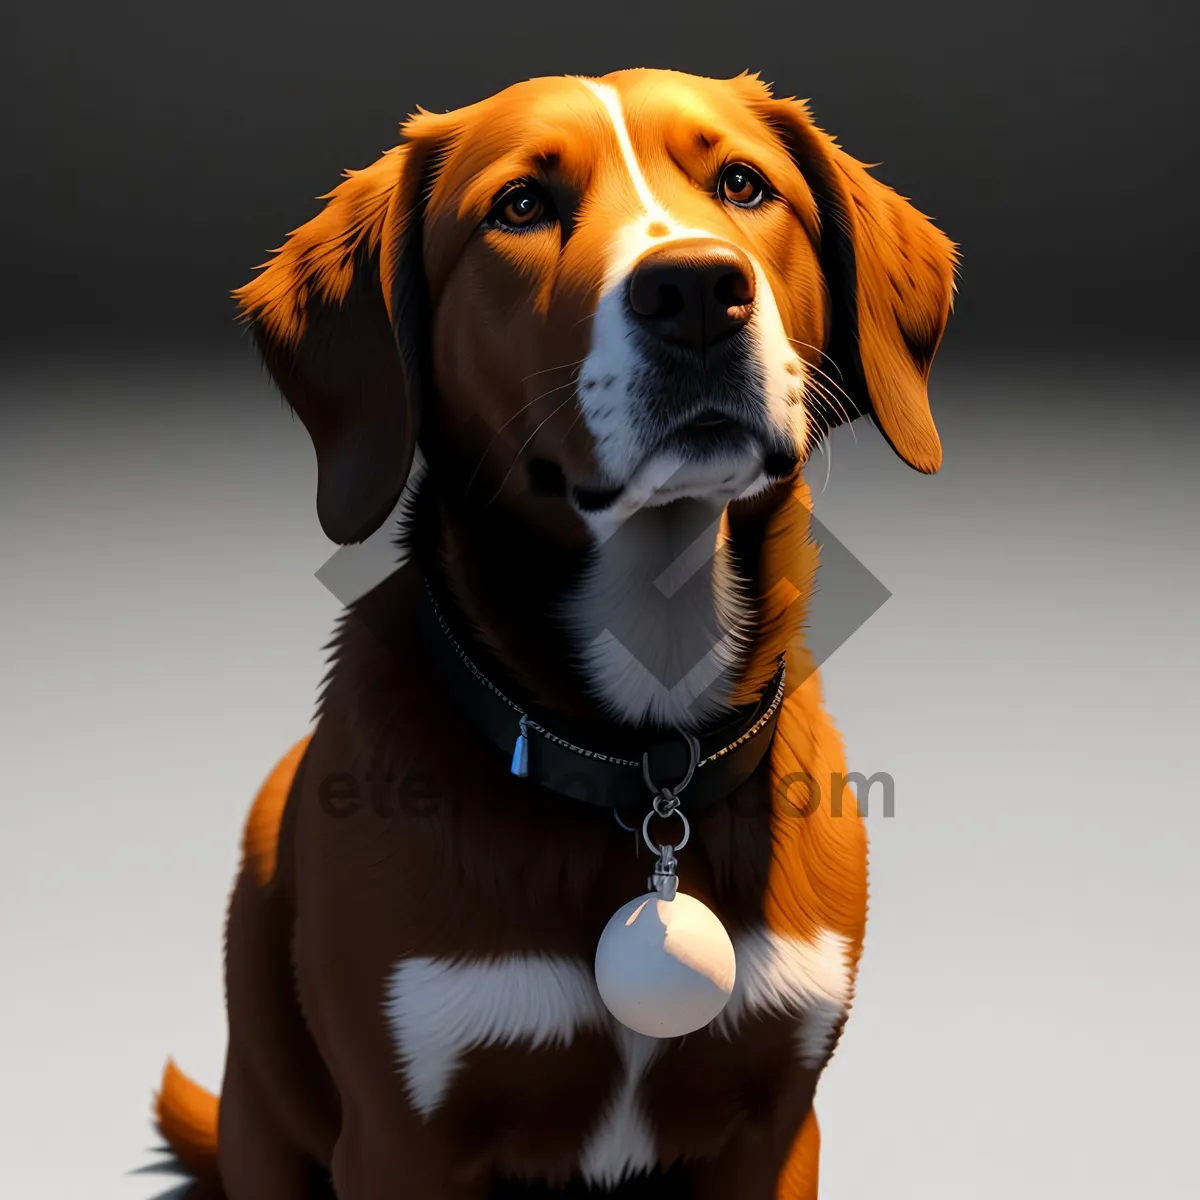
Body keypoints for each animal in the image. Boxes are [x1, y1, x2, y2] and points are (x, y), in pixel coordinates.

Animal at [152, 68, 955, 1200]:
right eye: (520, 206)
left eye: (743, 185)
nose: (698, 293)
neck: (644, 759)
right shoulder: (402, 1137)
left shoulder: (775, 1126)